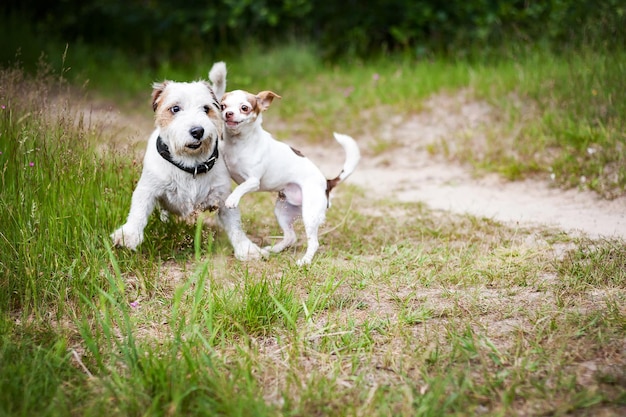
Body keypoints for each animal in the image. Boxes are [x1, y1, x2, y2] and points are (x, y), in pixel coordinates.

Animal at [111, 62, 264, 260]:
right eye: (175, 109)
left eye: (206, 109)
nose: (198, 131)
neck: (191, 164)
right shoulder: (147, 190)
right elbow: (138, 211)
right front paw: (128, 235)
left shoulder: (222, 198)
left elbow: (235, 226)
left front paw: (246, 248)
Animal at [217, 88, 358, 264]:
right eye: (223, 106)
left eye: (244, 108)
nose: (228, 113)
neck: (239, 143)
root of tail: (327, 183)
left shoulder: (253, 181)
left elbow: (242, 187)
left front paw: (232, 199)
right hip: (282, 211)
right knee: (291, 236)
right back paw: (275, 249)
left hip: (310, 214)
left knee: (314, 242)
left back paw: (305, 261)